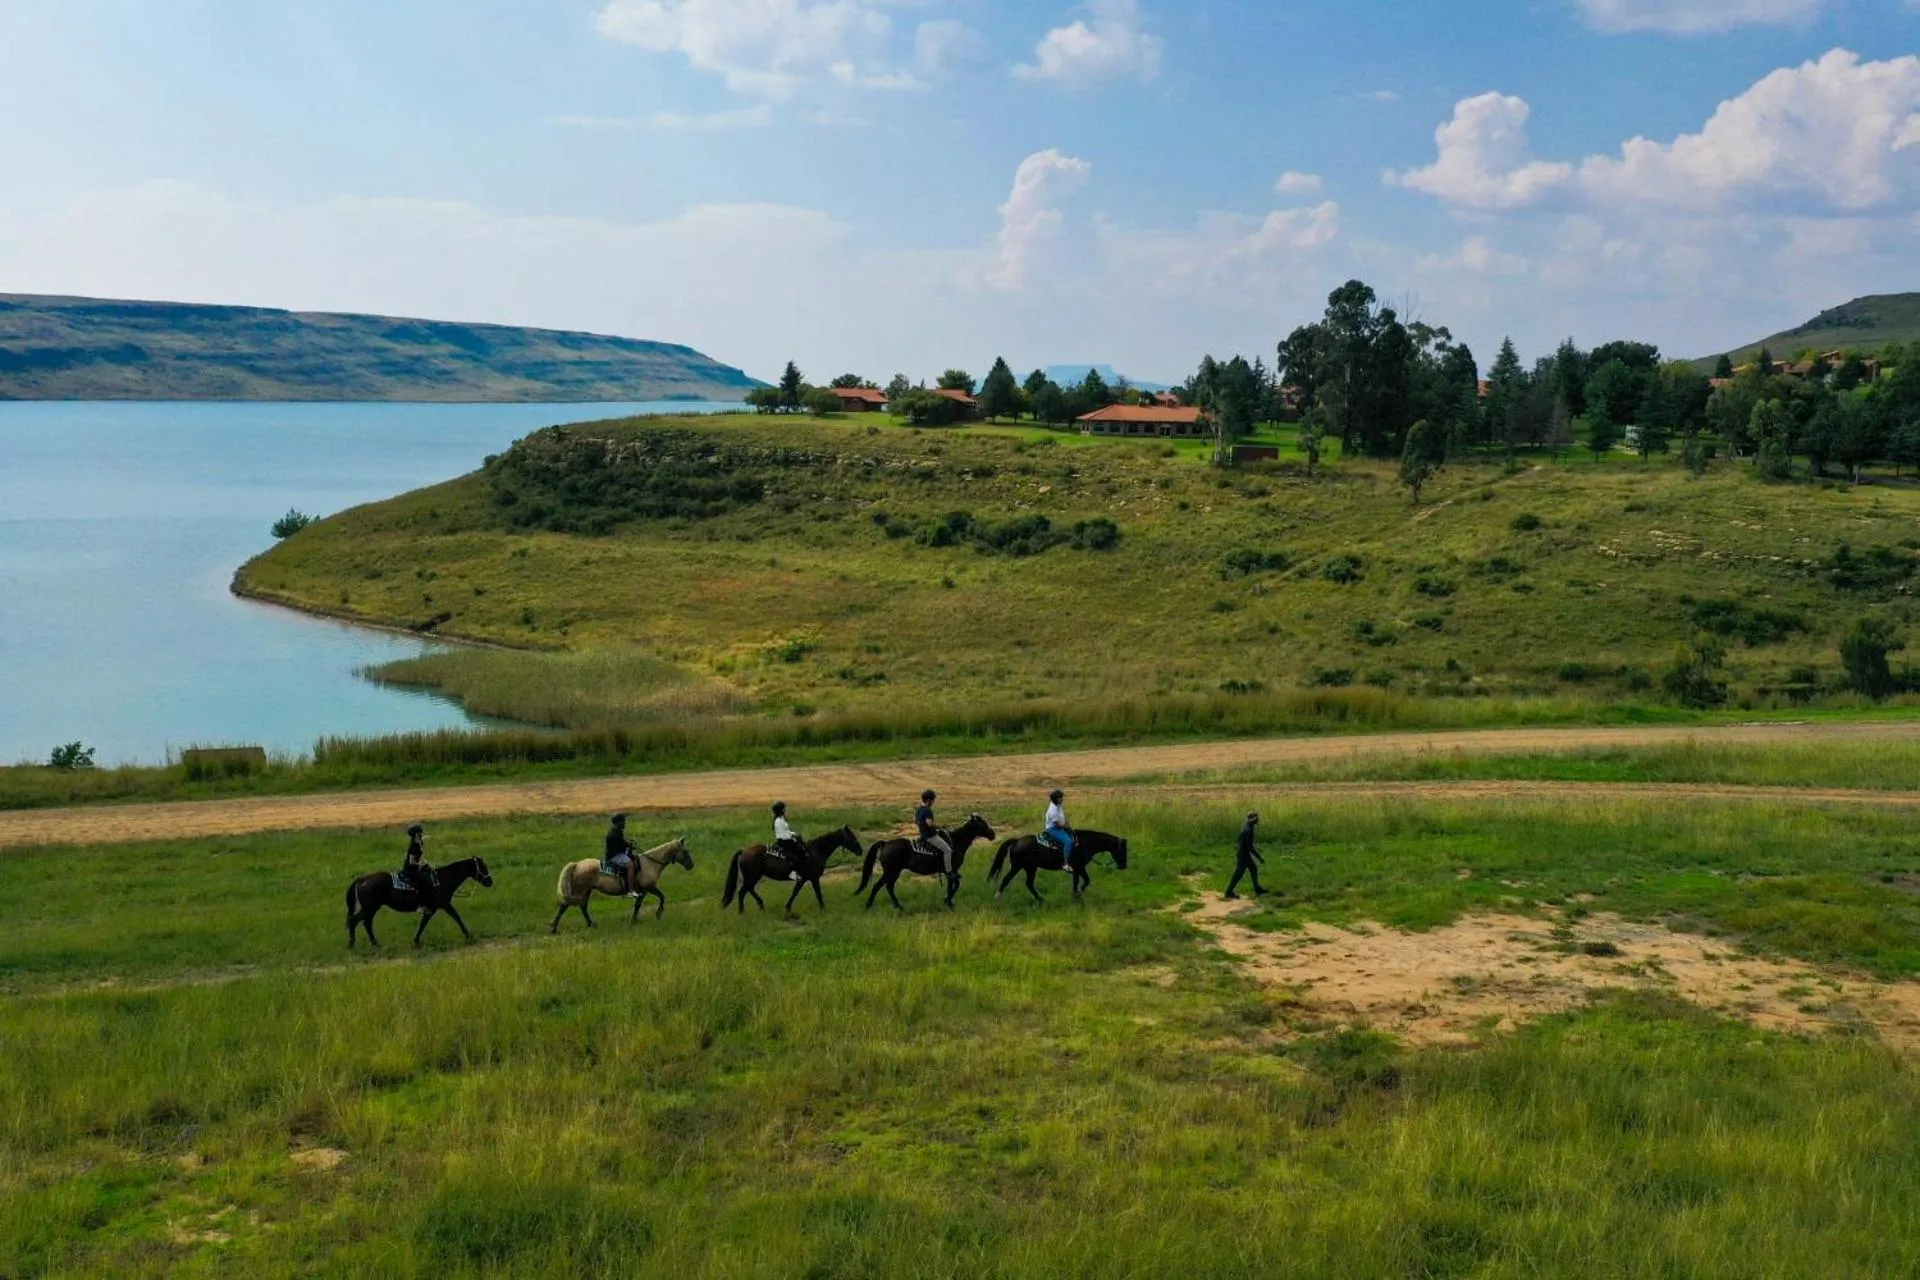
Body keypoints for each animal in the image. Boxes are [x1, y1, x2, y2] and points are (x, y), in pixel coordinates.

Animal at [345, 856, 495, 949]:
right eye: (483, 867)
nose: (490, 881)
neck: (442, 879)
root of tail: (361, 880)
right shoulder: (444, 905)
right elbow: (456, 917)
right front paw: (468, 935)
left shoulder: (432, 909)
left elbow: (423, 924)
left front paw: (415, 941)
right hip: (369, 908)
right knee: (354, 921)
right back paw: (352, 944)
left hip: (372, 908)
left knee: (366, 923)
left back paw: (375, 943)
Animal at [550, 837, 694, 933]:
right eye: (686, 851)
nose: (691, 866)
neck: (650, 863)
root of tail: (577, 864)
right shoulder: (648, 888)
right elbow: (661, 898)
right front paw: (657, 914)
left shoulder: (643, 891)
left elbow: (638, 905)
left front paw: (634, 920)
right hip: (579, 891)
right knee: (564, 907)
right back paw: (553, 928)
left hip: (586, 891)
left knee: (582, 907)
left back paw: (591, 924)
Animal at [722, 825, 863, 916]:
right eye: (852, 837)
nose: (860, 850)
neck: (814, 852)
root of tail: (744, 851)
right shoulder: (813, 878)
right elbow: (817, 893)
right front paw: (823, 909)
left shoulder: (803, 879)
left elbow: (795, 892)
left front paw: (787, 908)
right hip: (752, 877)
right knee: (743, 891)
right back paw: (745, 911)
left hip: (753, 877)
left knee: (747, 890)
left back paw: (757, 906)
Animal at [855, 814, 997, 911]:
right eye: (982, 824)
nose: (993, 834)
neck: (956, 841)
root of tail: (885, 843)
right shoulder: (951, 871)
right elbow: (955, 885)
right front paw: (948, 901)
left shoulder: (950, 872)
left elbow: (951, 886)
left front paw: (948, 901)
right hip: (891, 871)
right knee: (878, 886)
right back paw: (869, 905)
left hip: (894, 872)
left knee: (889, 887)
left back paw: (898, 906)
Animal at [989, 829, 1130, 903]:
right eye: (1123, 850)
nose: (1123, 866)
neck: (1085, 843)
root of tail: (1017, 841)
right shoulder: (1079, 867)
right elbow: (1083, 881)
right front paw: (1078, 894)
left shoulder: (1078, 868)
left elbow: (1082, 881)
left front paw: (1076, 895)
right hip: (1020, 867)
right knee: (1007, 879)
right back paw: (997, 898)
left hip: (1029, 868)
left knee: (1028, 883)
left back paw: (1040, 899)